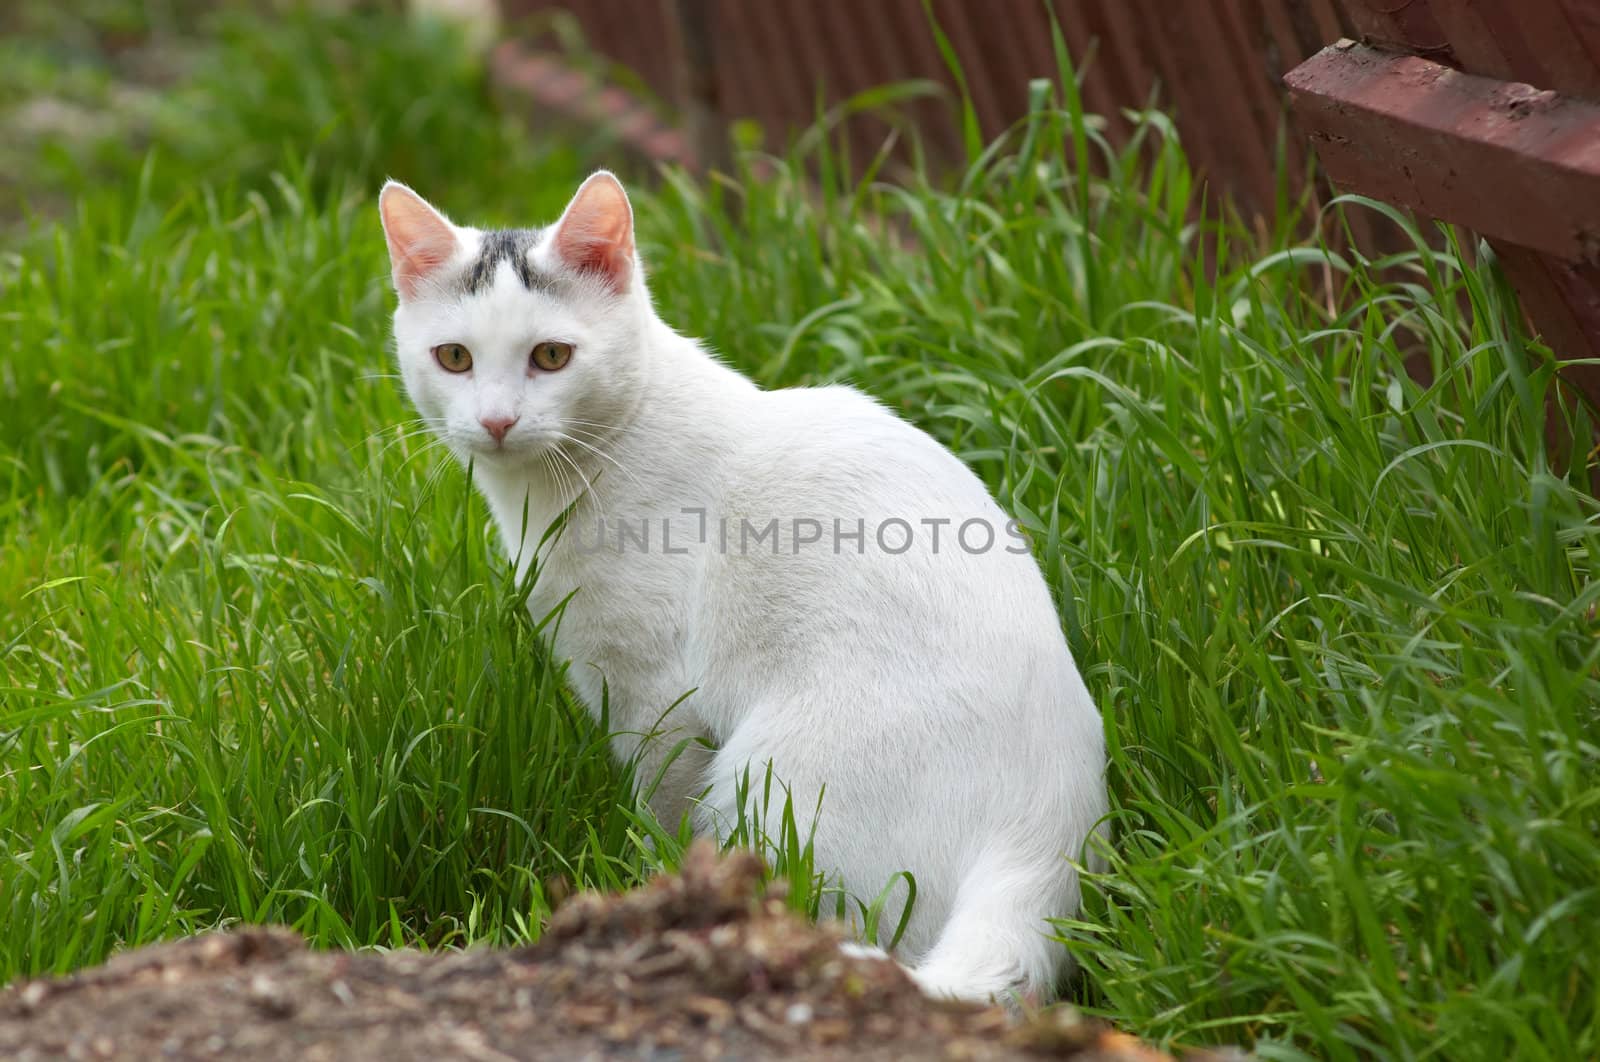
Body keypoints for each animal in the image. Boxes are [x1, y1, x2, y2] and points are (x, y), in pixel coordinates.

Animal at [379, 170, 1107, 998]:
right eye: (455, 358)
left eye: (552, 356)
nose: (497, 421)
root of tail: (1047, 840)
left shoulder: (655, 698)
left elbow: (659, 808)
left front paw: (648, 882)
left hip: (768, 781)